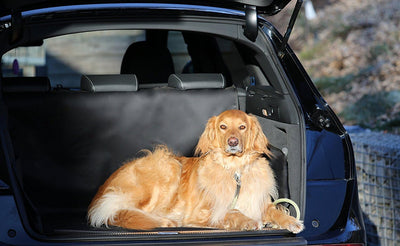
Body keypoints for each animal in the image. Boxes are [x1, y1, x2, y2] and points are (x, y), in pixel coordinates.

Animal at [88, 109, 304, 233]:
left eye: (242, 127)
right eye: (223, 126)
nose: (233, 142)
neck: (234, 170)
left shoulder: (259, 202)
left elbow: (275, 211)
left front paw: (290, 221)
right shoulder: (202, 212)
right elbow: (231, 211)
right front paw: (248, 221)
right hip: (167, 167)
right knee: (121, 213)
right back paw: (164, 221)